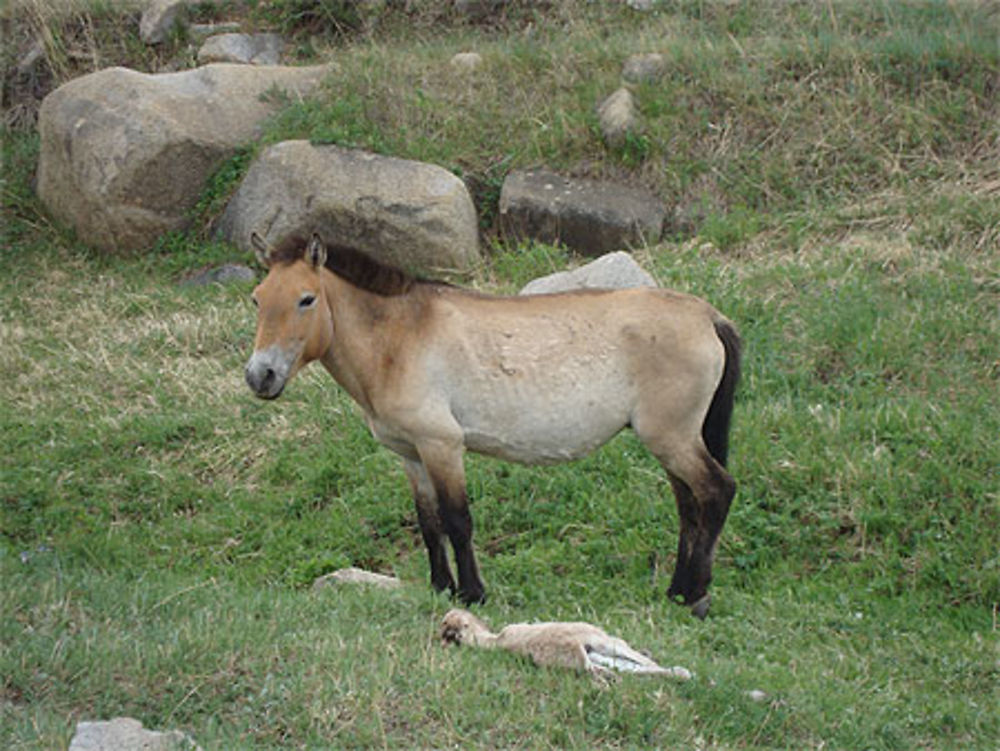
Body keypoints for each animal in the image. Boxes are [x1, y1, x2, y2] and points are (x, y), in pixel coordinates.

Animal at [245, 234, 740, 616]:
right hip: (670, 441)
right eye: (257, 299)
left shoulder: (442, 445)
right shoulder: (411, 454)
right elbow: (429, 523)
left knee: (716, 491)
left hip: (672, 438)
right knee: (689, 507)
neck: (399, 338)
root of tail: (707, 315)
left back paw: (696, 595)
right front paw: (440, 588)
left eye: (306, 299)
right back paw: (678, 591)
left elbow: (457, 520)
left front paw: (472, 594)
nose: (260, 376)